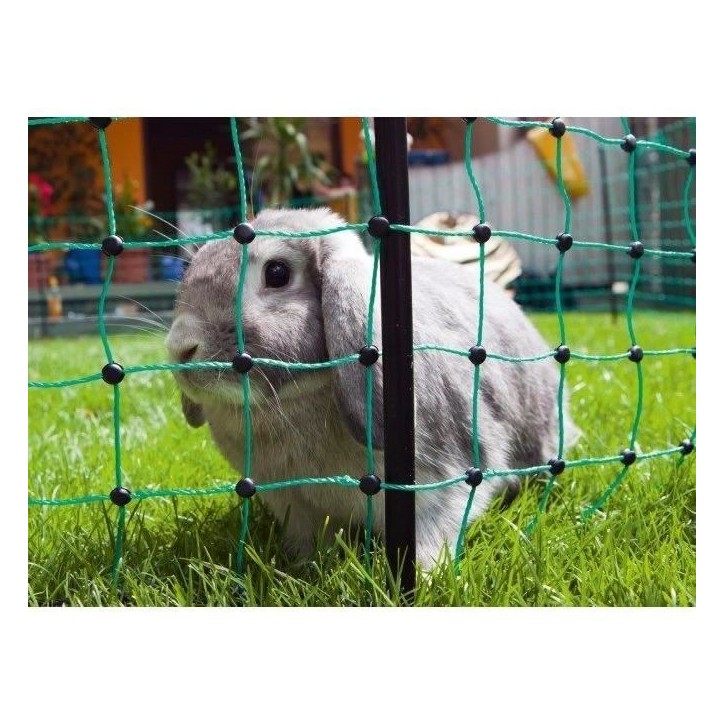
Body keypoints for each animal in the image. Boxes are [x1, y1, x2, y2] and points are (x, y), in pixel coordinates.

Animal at [165, 207, 580, 568]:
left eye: (278, 273)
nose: (180, 347)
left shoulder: (442, 488)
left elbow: (433, 536)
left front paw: (425, 578)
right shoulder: (296, 506)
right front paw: (303, 568)